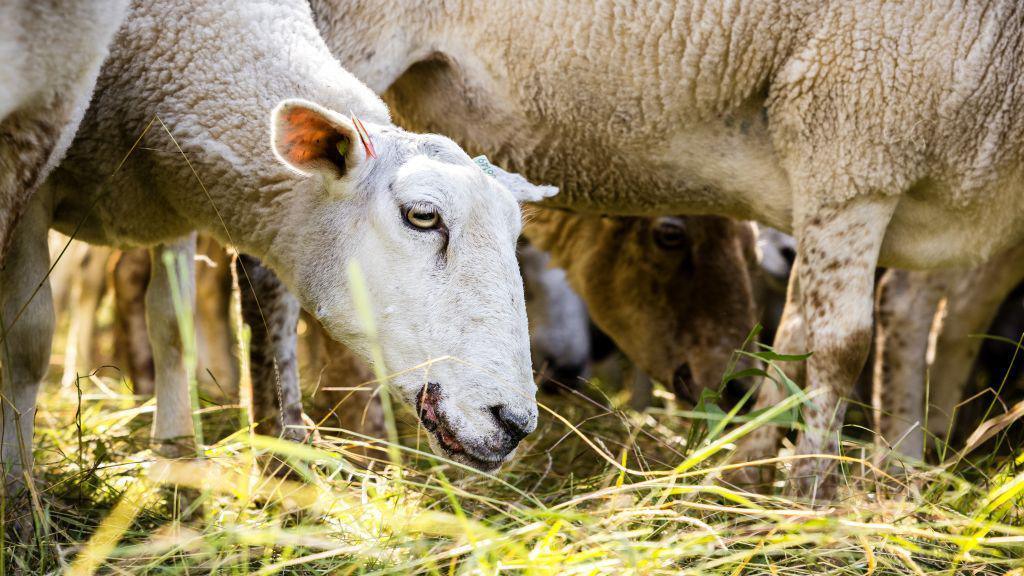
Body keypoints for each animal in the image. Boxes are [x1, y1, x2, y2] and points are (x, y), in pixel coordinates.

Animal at [2, 0, 561, 487]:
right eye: (422, 216)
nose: (514, 424)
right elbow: (29, 339)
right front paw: (20, 486)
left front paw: (176, 456)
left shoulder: (171, 196)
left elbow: (172, 326)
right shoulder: (35, 174)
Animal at [307, 0, 1024, 496]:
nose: (725, 389)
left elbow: (802, 336)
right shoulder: (854, 145)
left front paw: (749, 481)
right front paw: (807, 497)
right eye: (670, 235)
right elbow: (838, 343)